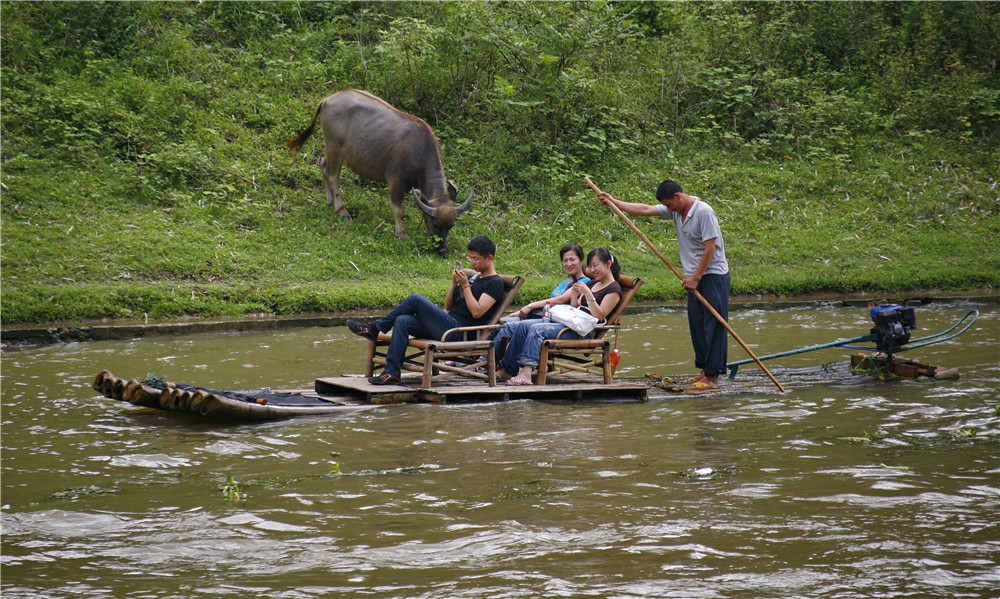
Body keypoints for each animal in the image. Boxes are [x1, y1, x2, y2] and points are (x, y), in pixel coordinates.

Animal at [286, 89, 472, 255]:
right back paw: (342, 211)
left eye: (451, 225)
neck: (418, 150)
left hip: (332, 150)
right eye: (435, 223)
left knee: (324, 165)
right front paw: (401, 234)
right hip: (335, 147)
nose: (443, 250)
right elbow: (399, 209)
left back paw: (330, 201)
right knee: (332, 176)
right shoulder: (396, 182)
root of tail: (328, 99)